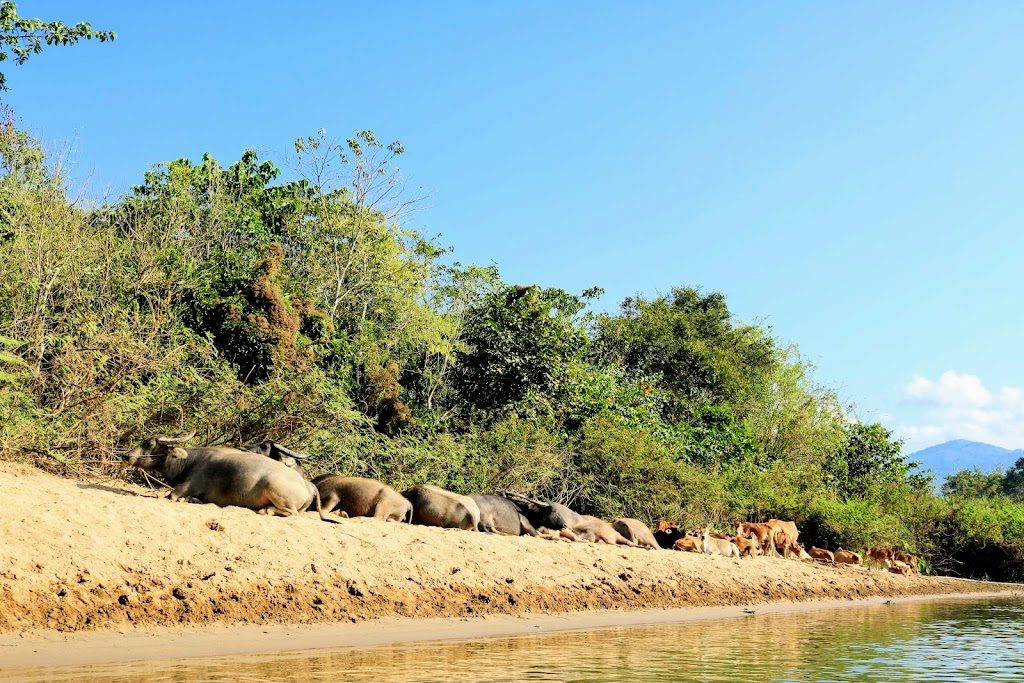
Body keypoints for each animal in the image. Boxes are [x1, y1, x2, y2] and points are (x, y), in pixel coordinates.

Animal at [122, 432, 339, 524]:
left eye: (149, 444)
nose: (126, 456)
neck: (190, 461)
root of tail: (308, 485)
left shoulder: (185, 487)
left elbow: (172, 496)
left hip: (273, 487)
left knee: (292, 513)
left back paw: (266, 510)